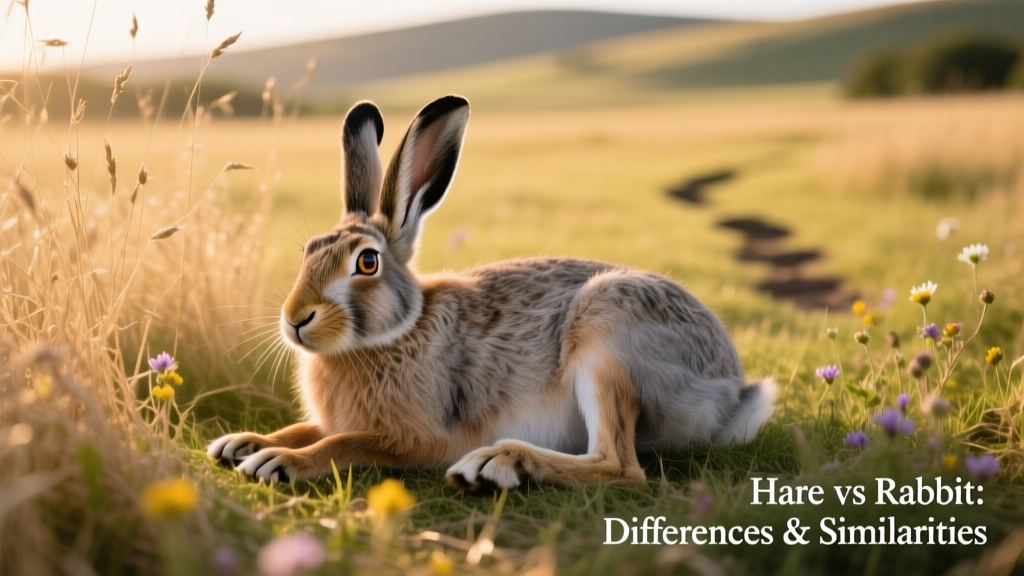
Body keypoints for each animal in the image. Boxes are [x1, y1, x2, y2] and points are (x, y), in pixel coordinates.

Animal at [207, 95, 777, 490]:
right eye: (308, 251)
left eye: (366, 262)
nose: (295, 318)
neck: (394, 334)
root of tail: (730, 390)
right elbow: (304, 428)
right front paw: (242, 444)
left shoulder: (415, 436)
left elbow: (345, 441)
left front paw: (279, 462)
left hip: (607, 336)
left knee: (620, 466)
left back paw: (498, 463)